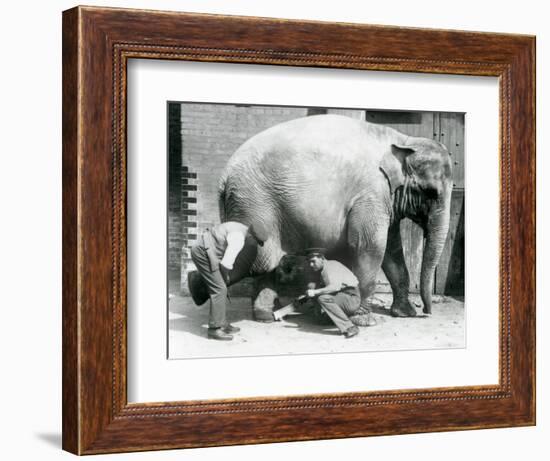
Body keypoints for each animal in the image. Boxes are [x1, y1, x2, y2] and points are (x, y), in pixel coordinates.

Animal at [218, 113, 454, 318]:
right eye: (431, 193)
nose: (426, 312)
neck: (403, 140)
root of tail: (224, 175)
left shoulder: (384, 199)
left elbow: (392, 250)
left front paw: (404, 314)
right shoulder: (370, 195)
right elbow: (370, 247)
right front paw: (363, 318)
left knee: (265, 261)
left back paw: (266, 314)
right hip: (253, 201)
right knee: (260, 259)